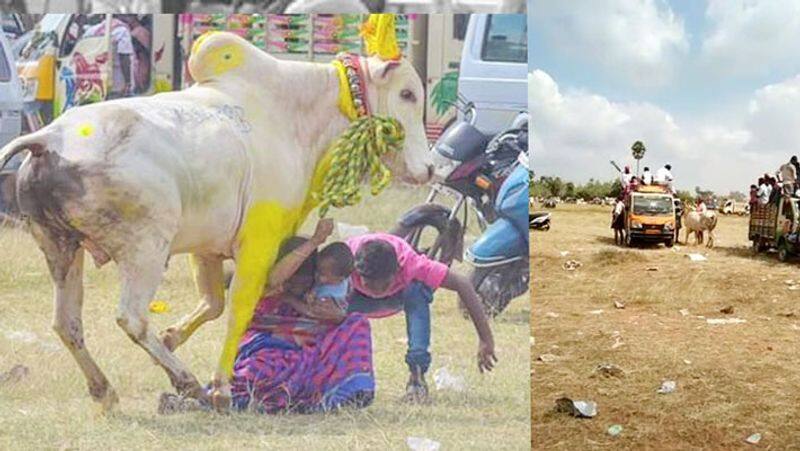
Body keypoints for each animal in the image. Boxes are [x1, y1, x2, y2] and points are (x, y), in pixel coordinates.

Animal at [0, 31, 432, 412]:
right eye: (407, 94)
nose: (428, 168)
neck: (294, 115)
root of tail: (49, 139)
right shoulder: (259, 241)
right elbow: (239, 308)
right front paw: (221, 386)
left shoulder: (207, 247)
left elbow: (213, 304)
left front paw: (171, 338)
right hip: (146, 249)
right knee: (131, 317)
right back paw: (187, 382)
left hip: (60, 248)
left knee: (66, 323)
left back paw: (105, 390)